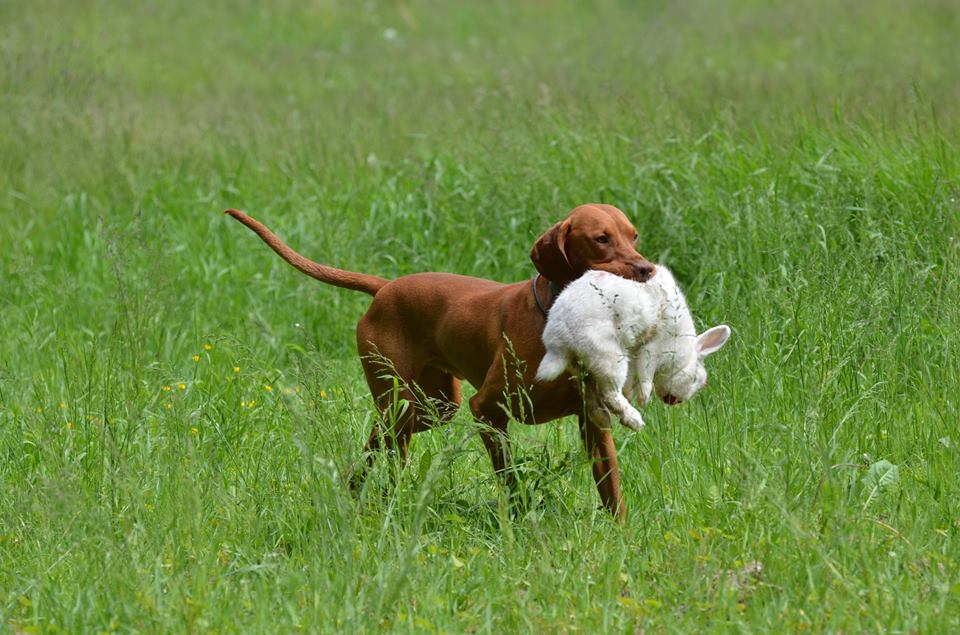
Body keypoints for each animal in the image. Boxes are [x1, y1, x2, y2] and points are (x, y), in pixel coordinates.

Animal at [225, 204, 655, 520]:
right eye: (601, 239)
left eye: (633, 236)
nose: (647, 269)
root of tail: (386, 288)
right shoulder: (486, 410)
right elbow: (511, 480)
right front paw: (520, 522)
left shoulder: (593, 422)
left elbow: (612, 490)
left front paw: (621, 539)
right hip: (402, 403)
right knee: (388, 457)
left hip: (434, 407)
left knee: (376, 444)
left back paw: (352, 491)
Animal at [536, 267, 731, 432]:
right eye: (695, 379)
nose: (675, 401)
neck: (683, 350)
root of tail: (558, 340)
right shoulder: (653, 349)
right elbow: (646, 374)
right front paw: (644, 399)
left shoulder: (634, 355)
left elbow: (633, 379)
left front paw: (631, 393)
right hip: (611, 359)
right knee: (610, 394)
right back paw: (635, 421)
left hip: (582, 367)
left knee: (590, 395)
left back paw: (605, 420)